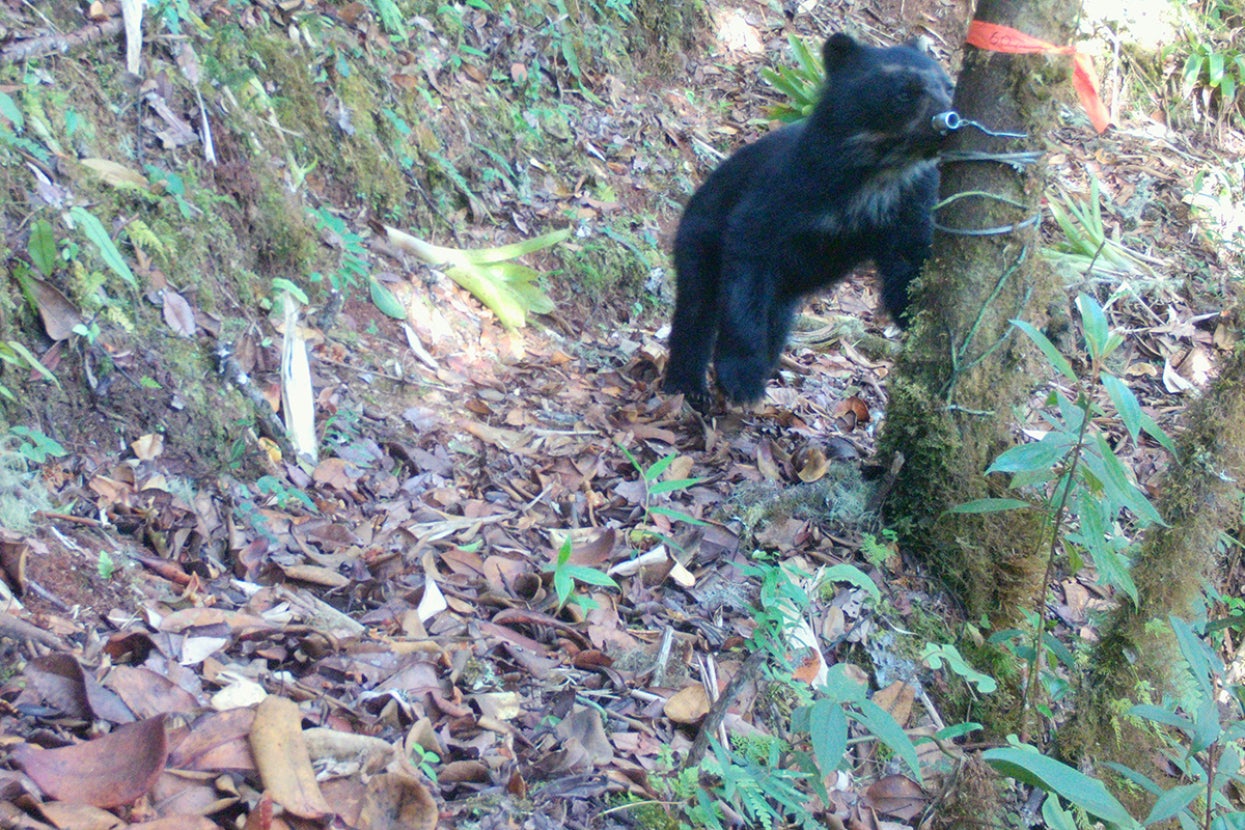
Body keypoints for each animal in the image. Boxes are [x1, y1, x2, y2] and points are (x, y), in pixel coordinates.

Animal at [663, 32, 954, 407]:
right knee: (696, 307)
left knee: (775, 323)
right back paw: (687, 386)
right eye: (905, 91)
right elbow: (748, 252)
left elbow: (908, 262)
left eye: (949, 86)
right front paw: (741, 377)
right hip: (699, 235)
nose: (950, 119)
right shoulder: (789, 189)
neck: (877, 169)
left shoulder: (911, 199)